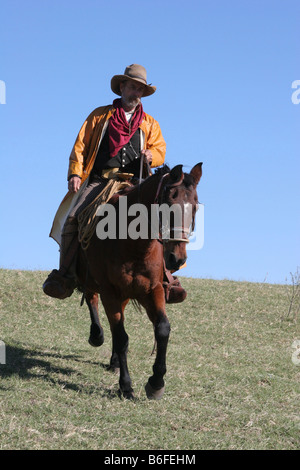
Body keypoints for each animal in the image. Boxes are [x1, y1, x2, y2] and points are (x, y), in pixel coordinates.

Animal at [76, 162, 203, 400]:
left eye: (195, 207)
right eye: (168, 205)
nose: (177, 258)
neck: (134, 246)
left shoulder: (153, 290)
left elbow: (162, 329)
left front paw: (156, 382)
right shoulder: (109, 291)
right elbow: (122, 337)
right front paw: (126, 386)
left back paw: (115, 361)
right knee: (92, 300)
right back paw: (96, 335)